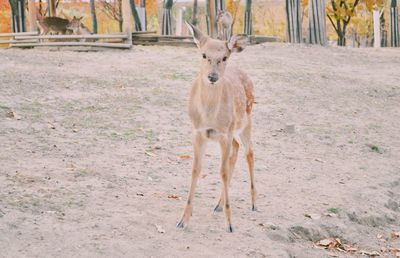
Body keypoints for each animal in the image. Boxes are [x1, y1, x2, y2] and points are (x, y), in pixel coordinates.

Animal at [177, 23, 258, 233]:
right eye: (203, 54)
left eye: (224, 57)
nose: (212, 76)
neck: (209, 116)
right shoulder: (197, 132)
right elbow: (196, 169)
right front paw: (183, 220)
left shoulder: (224, 134)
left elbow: (222, 172)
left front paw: (230, 224)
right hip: (233, 130)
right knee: (237, 150)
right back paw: (219, 205)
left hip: (246, 119)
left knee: (249, 152)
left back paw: (254, 203)